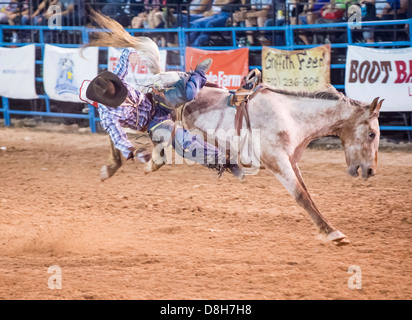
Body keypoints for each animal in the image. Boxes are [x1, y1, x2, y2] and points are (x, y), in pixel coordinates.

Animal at [86, 10, 384, 245]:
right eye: (372, 134)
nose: (371, 171)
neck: (291, 115)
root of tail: (161, 80)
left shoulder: (291, 162)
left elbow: (307, 193)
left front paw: (327, 228)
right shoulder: (277, 161)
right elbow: (301, 196)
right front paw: (332, 233)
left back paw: (145, 162)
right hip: (149, 114)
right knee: (119, 127)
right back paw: (113, 166)